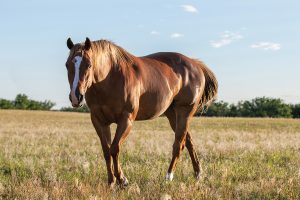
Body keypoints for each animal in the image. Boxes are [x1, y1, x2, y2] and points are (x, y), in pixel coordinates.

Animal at [65, 37, 218, 186]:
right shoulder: (99, 121)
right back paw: (198, 174)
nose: (76, 96)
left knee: (178, 144)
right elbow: (106, 151)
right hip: (172, 115)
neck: (110, 78)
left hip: (184, 112)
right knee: (188, 142)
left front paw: (122, 180)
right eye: (67, 65)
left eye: (89, 65)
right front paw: (111, 182)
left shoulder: (126, 120)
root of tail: (195, 64)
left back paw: (168, 177)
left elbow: (115, 148)